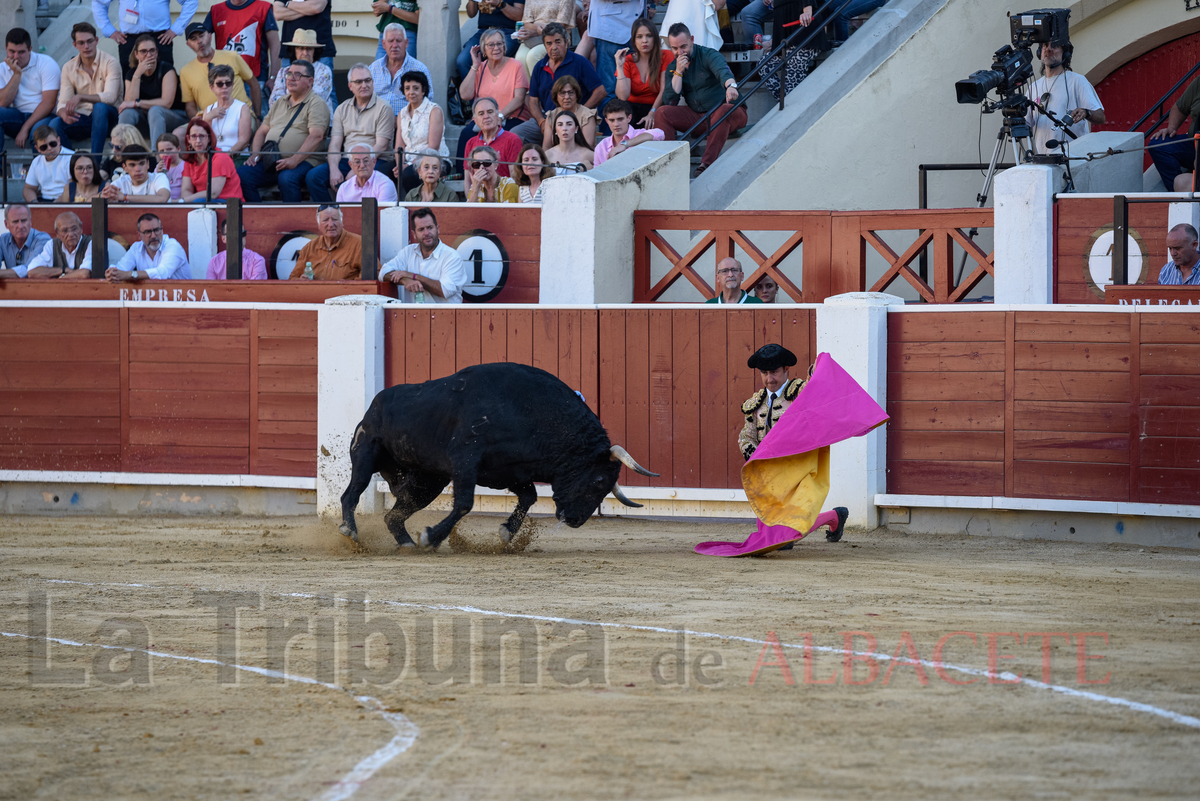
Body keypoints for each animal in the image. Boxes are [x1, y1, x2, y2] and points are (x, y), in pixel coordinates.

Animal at [338, 364, 662, 546]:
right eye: (598, 480)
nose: (575, 520)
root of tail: (376, 402)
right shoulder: (465, 460)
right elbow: (465, 503)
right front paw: (432, 536)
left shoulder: (510, 472)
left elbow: (529, 497)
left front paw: (507, 532)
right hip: (366, 454)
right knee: (351, 495)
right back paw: (349, 530)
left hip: (427, 482)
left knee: (394, 515)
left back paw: (406, 543)